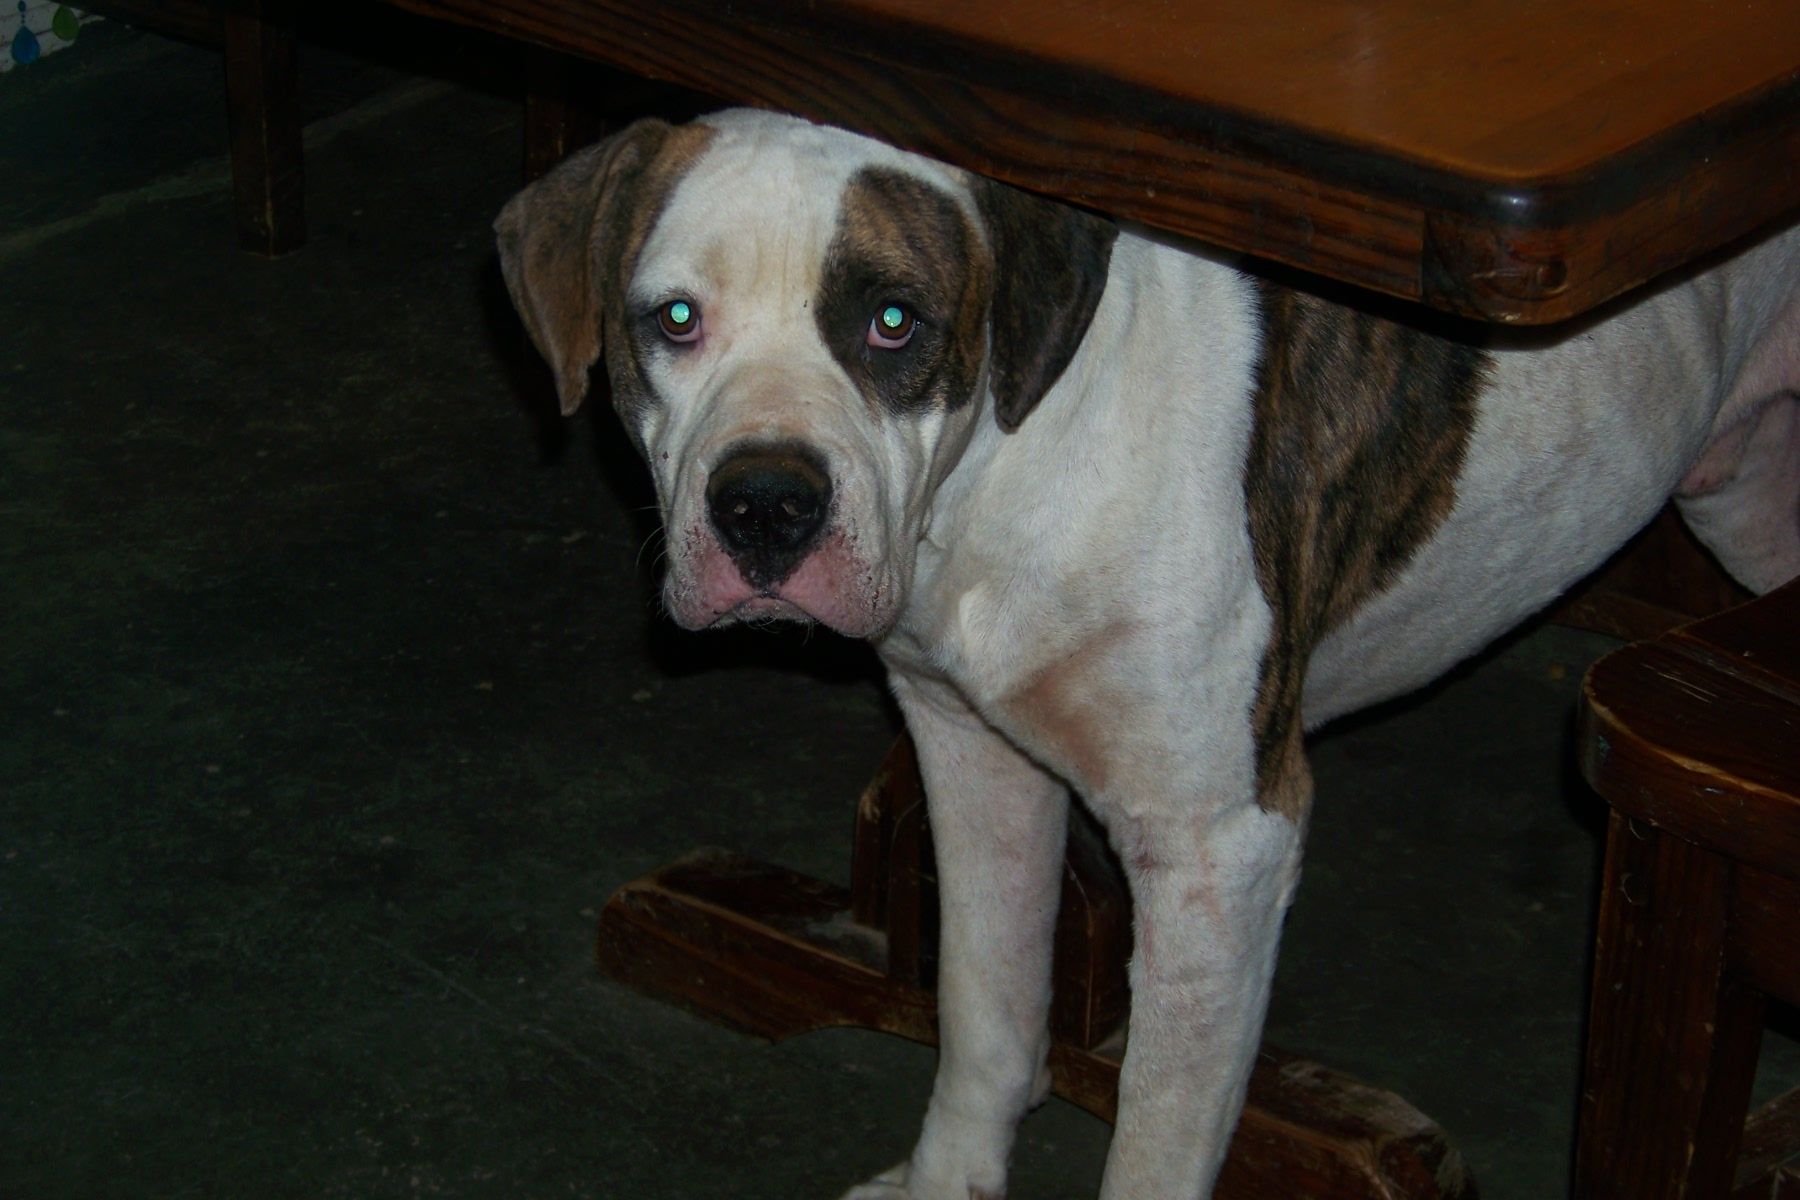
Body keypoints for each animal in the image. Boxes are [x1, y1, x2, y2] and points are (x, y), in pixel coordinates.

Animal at [495, 108, 1800, 1199]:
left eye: (893, 322)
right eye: (673, 321)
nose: (767, 503)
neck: (1012, 465)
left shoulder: (1216, 853)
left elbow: (1158, 1129)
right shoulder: (970, 754)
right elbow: (984, 1005)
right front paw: (948, 1180)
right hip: (1750, 498)